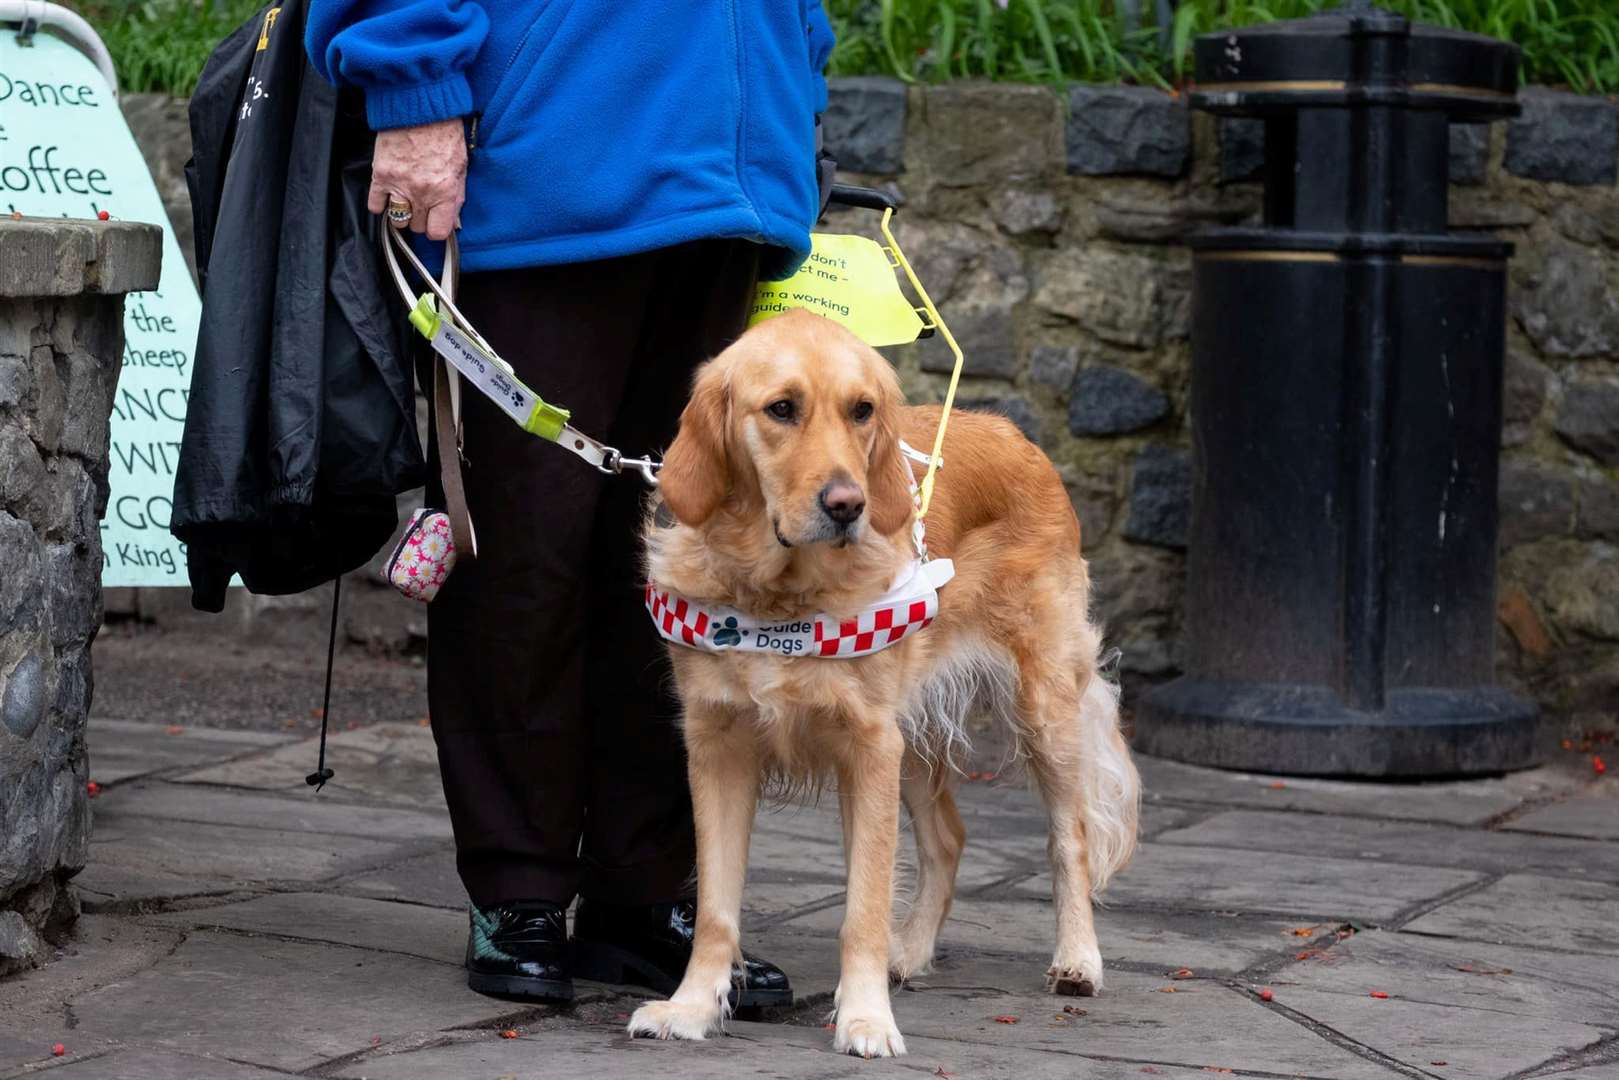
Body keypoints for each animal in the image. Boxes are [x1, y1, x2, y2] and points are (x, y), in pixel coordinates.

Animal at [624, 307, 1146, 1062]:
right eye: (781, 409)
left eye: (862, 410)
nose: (847, 504)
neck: (781, 596)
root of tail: (1016, 434)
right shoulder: (718, 746)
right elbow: (717, 906)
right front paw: (692, 1007)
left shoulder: (868, 746)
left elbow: (863, 907)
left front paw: (866, 1019)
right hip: (915, 731)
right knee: (948, 838)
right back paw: (913, 951)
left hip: (1041, 707)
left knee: (1067, 835)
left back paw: (1077, 959)